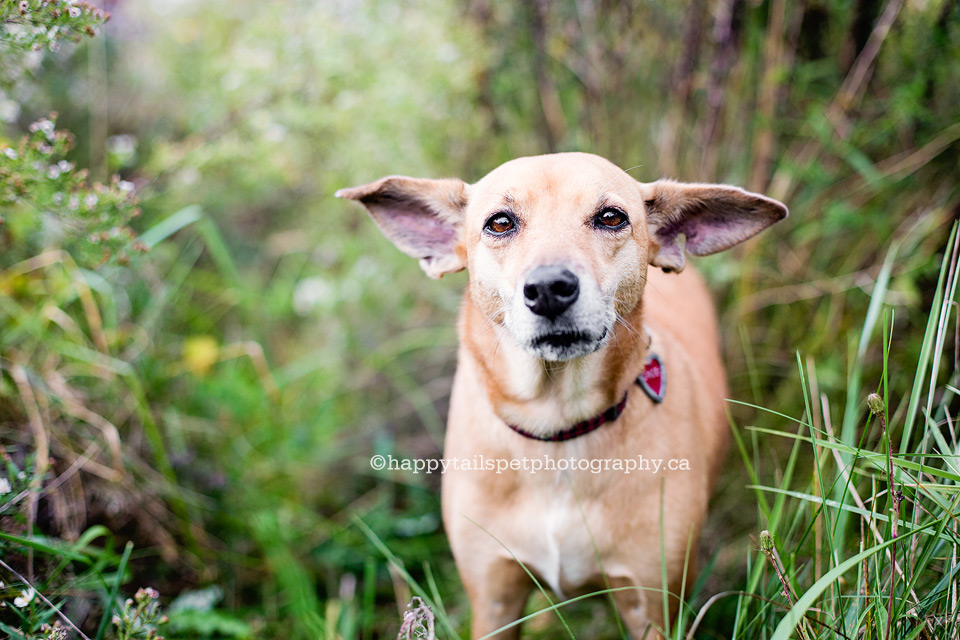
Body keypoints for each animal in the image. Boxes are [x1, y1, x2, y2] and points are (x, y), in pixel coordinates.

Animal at [338, 152, 788, 636]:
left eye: (611, 217)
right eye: (500, 222)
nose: (549, 288)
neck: (557, 428)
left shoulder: (653, 606)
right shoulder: (494, 598)